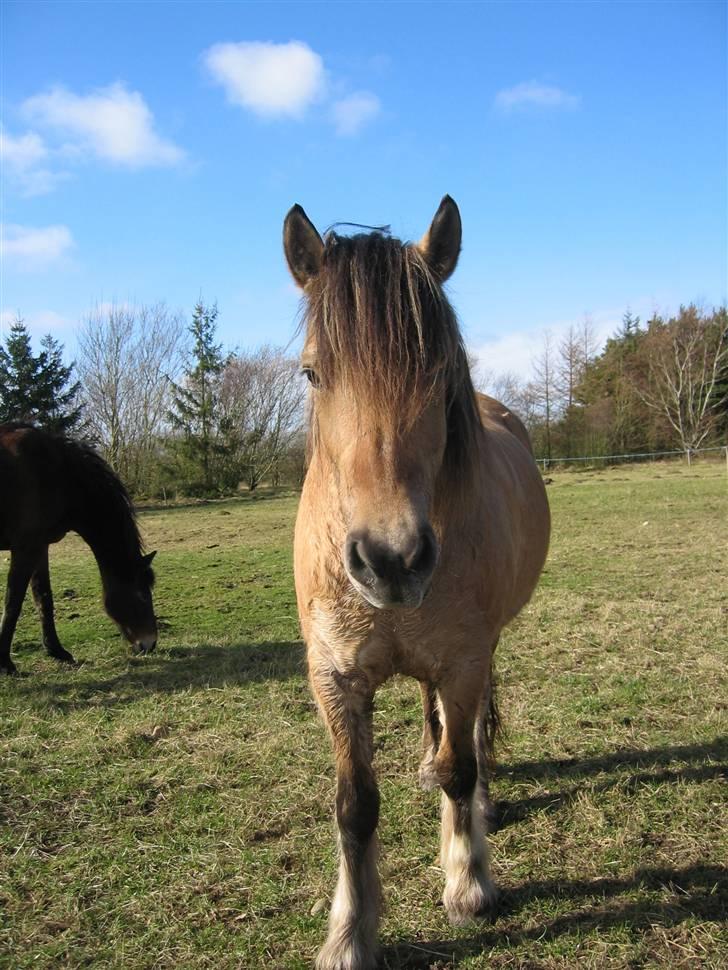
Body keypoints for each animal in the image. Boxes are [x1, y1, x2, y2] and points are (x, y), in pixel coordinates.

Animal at [0, 420, 158, 676]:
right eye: (142, 595)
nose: (150, 643)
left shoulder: (39, 546)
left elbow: (44, 598)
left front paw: (57, 651)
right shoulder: (25, 547)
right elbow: (13, 603)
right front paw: (5, 663)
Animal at [284, 197, 552, 968]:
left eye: (438, 373)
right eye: (312, 374)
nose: (391, 558)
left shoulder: (464, 658)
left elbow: (463, 764)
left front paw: (468, 885)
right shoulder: (335, 678)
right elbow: (354, 806)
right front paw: (350, 934)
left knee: (469, 737)